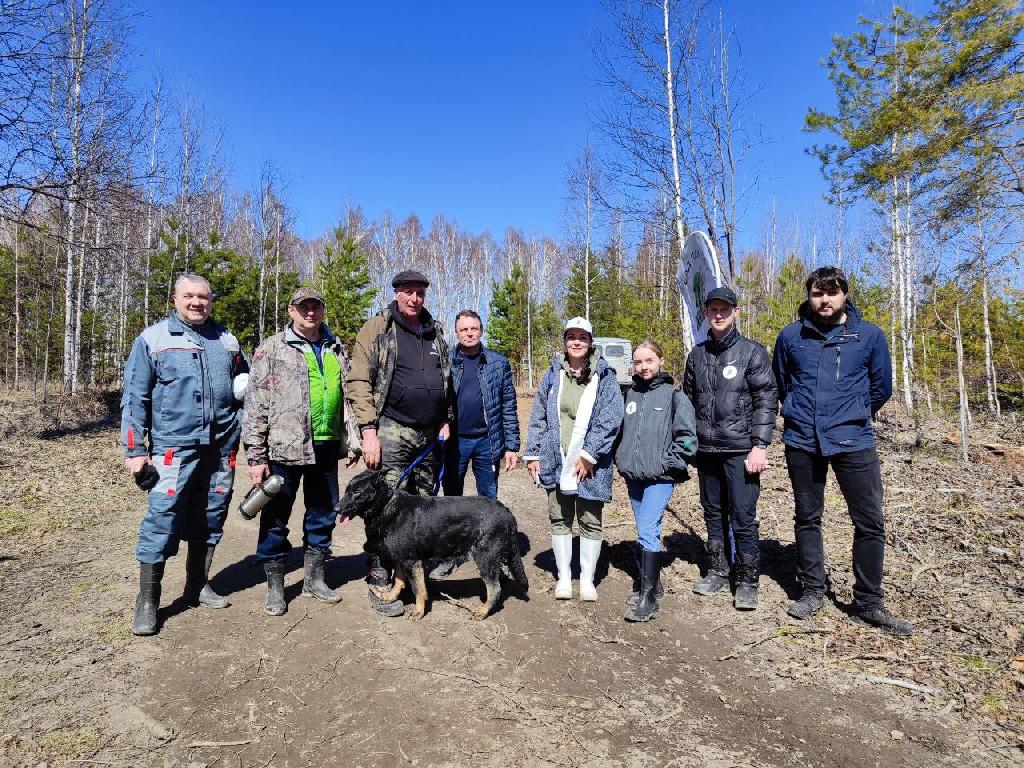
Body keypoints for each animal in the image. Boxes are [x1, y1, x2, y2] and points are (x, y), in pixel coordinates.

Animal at [337, 466, 528, 622]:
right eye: (347, 490)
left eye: (357, 492)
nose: (336, 509)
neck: (386, 505)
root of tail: (506, 511)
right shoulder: (401, 559)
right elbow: (398, 581)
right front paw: (391, 597)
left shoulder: (412, 562)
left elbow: (418, 589)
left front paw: (419, 611)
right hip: (493, 558)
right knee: (498, 581)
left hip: (484, 558)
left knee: (494, 588)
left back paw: (483, 611)